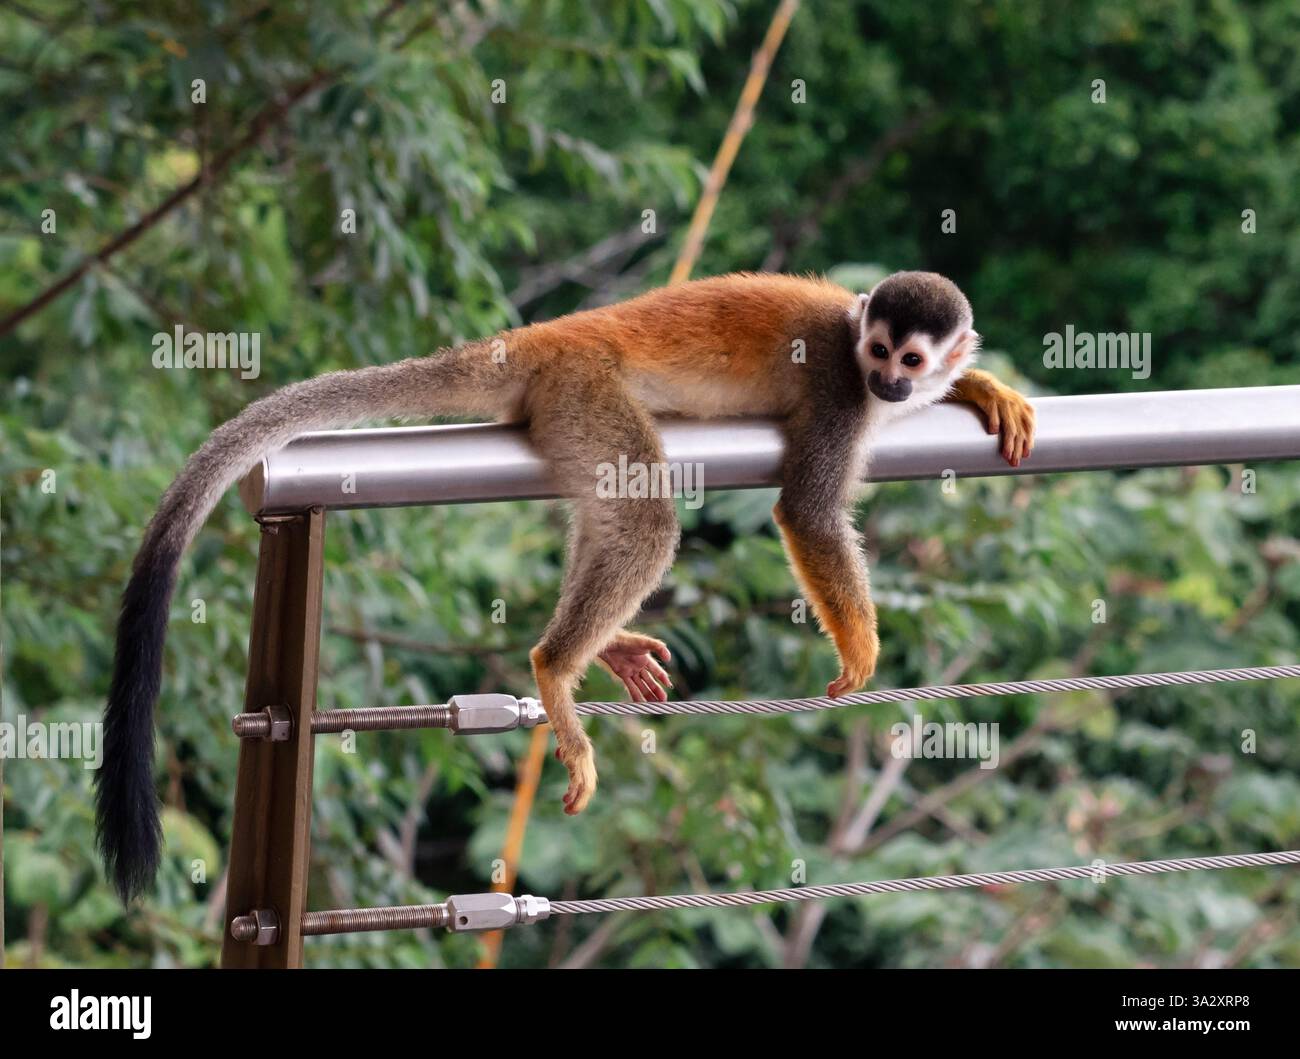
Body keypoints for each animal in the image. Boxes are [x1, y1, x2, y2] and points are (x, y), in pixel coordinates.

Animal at [96, 269, 1035, 901]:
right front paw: (862, 642)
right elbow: (806, 509)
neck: (853, 343)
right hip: (585, 385)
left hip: (566, 404)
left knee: (613, 509)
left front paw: (984, 386)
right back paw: (554, 667)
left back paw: (596, 647)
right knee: (645, 512)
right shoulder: (839, 388)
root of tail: (547, 334)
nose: (891, 380)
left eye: (908, 355)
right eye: (876, 351)